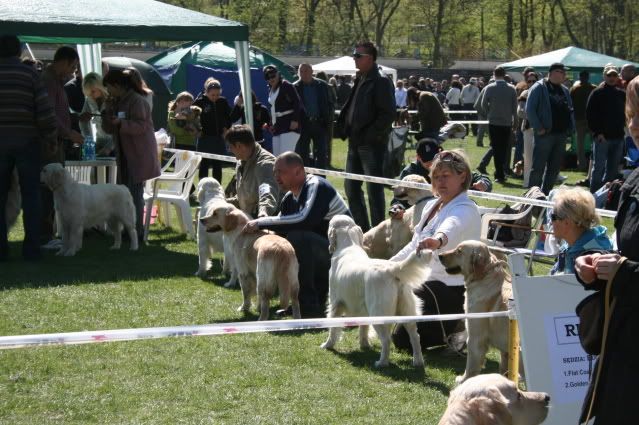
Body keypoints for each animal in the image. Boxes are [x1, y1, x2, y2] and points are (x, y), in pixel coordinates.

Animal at [321, 215, 431, 368]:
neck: (348, 245)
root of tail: (392, 269)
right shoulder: (362, 309)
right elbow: (363, 328)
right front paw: (364, 345)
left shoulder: (335, 303)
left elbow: (333, 328)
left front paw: (328, 345)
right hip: (407, 310)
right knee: (415, 336)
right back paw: (418, 361)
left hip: (378, 312)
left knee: (386, 339)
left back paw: (382, 363)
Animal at [439, 240, 513, 383]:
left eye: (459, 251)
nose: (439, 255)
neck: (483, 276)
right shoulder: (505, 349)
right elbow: (504, 370)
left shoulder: (475, 337)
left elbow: (471, 366)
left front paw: (464, 380)